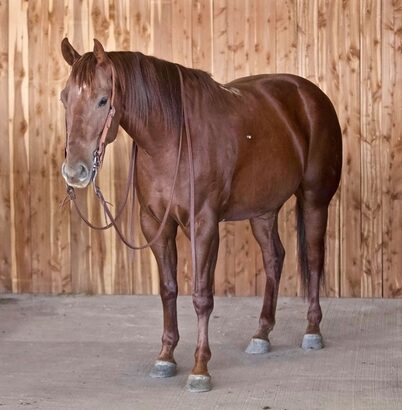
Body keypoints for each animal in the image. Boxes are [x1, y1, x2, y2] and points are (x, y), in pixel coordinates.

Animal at [60, 39, 342, 394]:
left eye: (102, 99)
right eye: (64, 98)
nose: (75, 171)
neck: (171, 139)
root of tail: (312, 95)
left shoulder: (204, 226)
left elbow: (201, 296)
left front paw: (200, 368)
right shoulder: (155, 224)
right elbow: (168, 289)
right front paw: (166, 357)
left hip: (315, 200)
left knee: (315, 259)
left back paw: (312, 331)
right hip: (263, 211)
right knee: (274, 258)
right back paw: (261, 334)